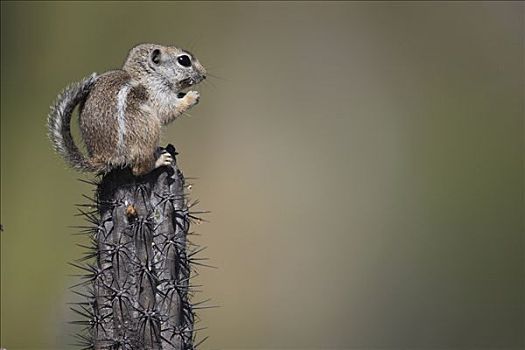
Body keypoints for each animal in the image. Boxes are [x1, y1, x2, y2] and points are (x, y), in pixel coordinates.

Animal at [48, 42, 206, 176]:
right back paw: (160, 161)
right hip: (148, 126)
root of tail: (104, 158)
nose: (204, 74)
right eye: (184, 60)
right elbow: (168, 111)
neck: (149, 75)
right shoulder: (157, 95)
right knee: (138, 170)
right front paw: (192, 96)